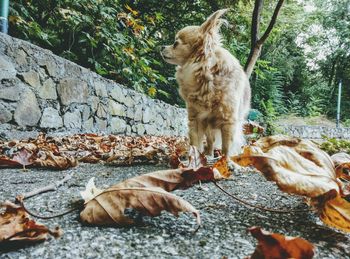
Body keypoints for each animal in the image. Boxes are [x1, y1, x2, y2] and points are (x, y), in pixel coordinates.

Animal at [161, 9, 252, 156]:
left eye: (175, 43)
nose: (162, 46)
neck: (207, 78)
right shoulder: (196, 118)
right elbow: (194, 142)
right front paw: (194, 158)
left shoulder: (228, 122)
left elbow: (226, 147)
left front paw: (225, 160)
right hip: (209, 124)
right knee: (210, 140)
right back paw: (209, 154)